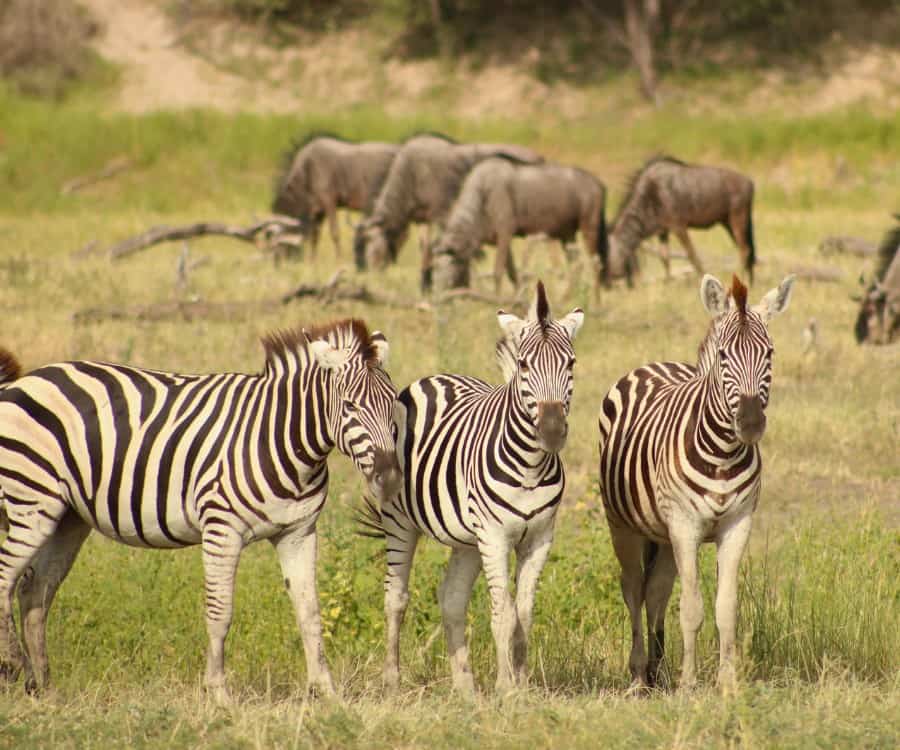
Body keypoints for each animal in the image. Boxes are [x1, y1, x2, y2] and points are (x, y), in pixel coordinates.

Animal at [0, 319, 400, 702]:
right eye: (350, 407)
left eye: (394, 405)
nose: (391, 477)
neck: (283, 440)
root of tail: (25, 381)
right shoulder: (222, 530)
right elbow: (220, 612)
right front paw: (219, 693)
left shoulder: (298, 533)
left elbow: (310, 613)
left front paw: (327, 693)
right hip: (32, 503)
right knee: (6, 578)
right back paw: (15, 665)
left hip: (68, 517)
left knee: (34, 590)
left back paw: (43, 688)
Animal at [364, 281, 584, 694]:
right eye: (524, 365)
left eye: (571, 364)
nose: (550, 431)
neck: (531, 466)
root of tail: (436, 377)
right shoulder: (495, 536)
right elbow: (503, 612)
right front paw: (506, 687)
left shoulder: (539, 538)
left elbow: (524, 613)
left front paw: (522, 683)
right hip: (401, 522)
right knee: (394, 597)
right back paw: (391, 680)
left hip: (468, 539)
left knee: (451, 597)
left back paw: (465, 688)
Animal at [597, 273, 795, 690]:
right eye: (723, 356)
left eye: (769, 354)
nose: (751, 424)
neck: (722, 453)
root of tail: (656, 364)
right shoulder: (685, 525)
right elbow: (691, 608)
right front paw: (689, 685)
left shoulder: (737, 524)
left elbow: (725, 608)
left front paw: (727, 683)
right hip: (623, 524)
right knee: (633, 588)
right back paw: (638, 674)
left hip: (662, 534)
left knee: (656, 590)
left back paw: (657, 670)